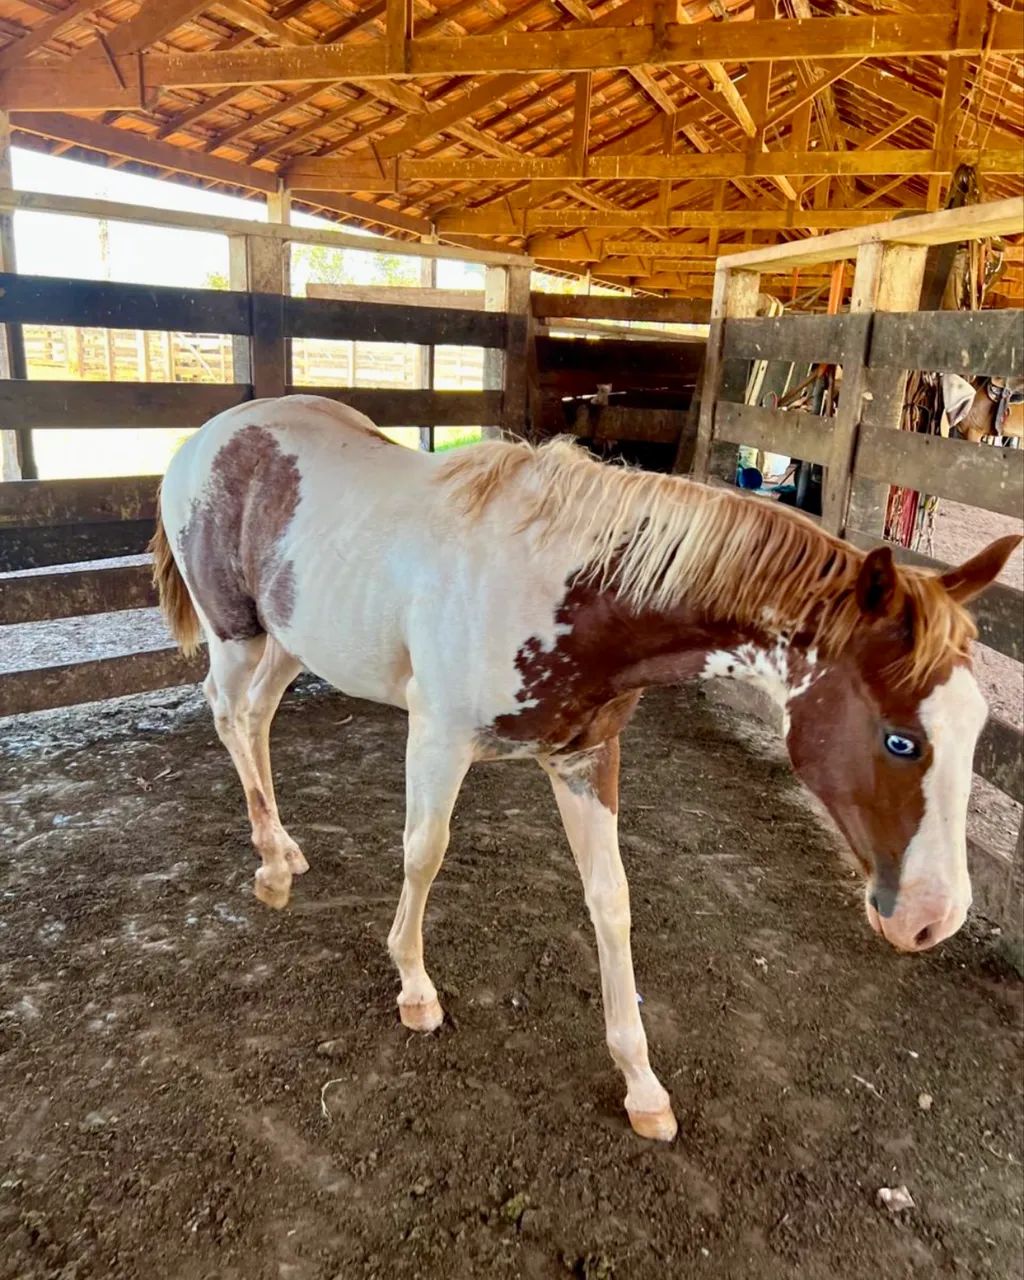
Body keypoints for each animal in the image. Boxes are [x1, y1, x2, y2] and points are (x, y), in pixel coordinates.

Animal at [151, 394, 1019, 1143]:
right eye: (901, 741)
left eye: (977, 727)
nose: (935, 919)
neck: (566, 594)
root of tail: (206, 437)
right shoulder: (436, 740)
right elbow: (423, 856)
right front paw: (414, 988)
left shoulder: (586, 759)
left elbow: (611, 900)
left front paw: (642, 1086)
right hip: (237, 635)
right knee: (229, 715)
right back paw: (271, 868)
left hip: (290, 643)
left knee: (258, 719)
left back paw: (286, 849)